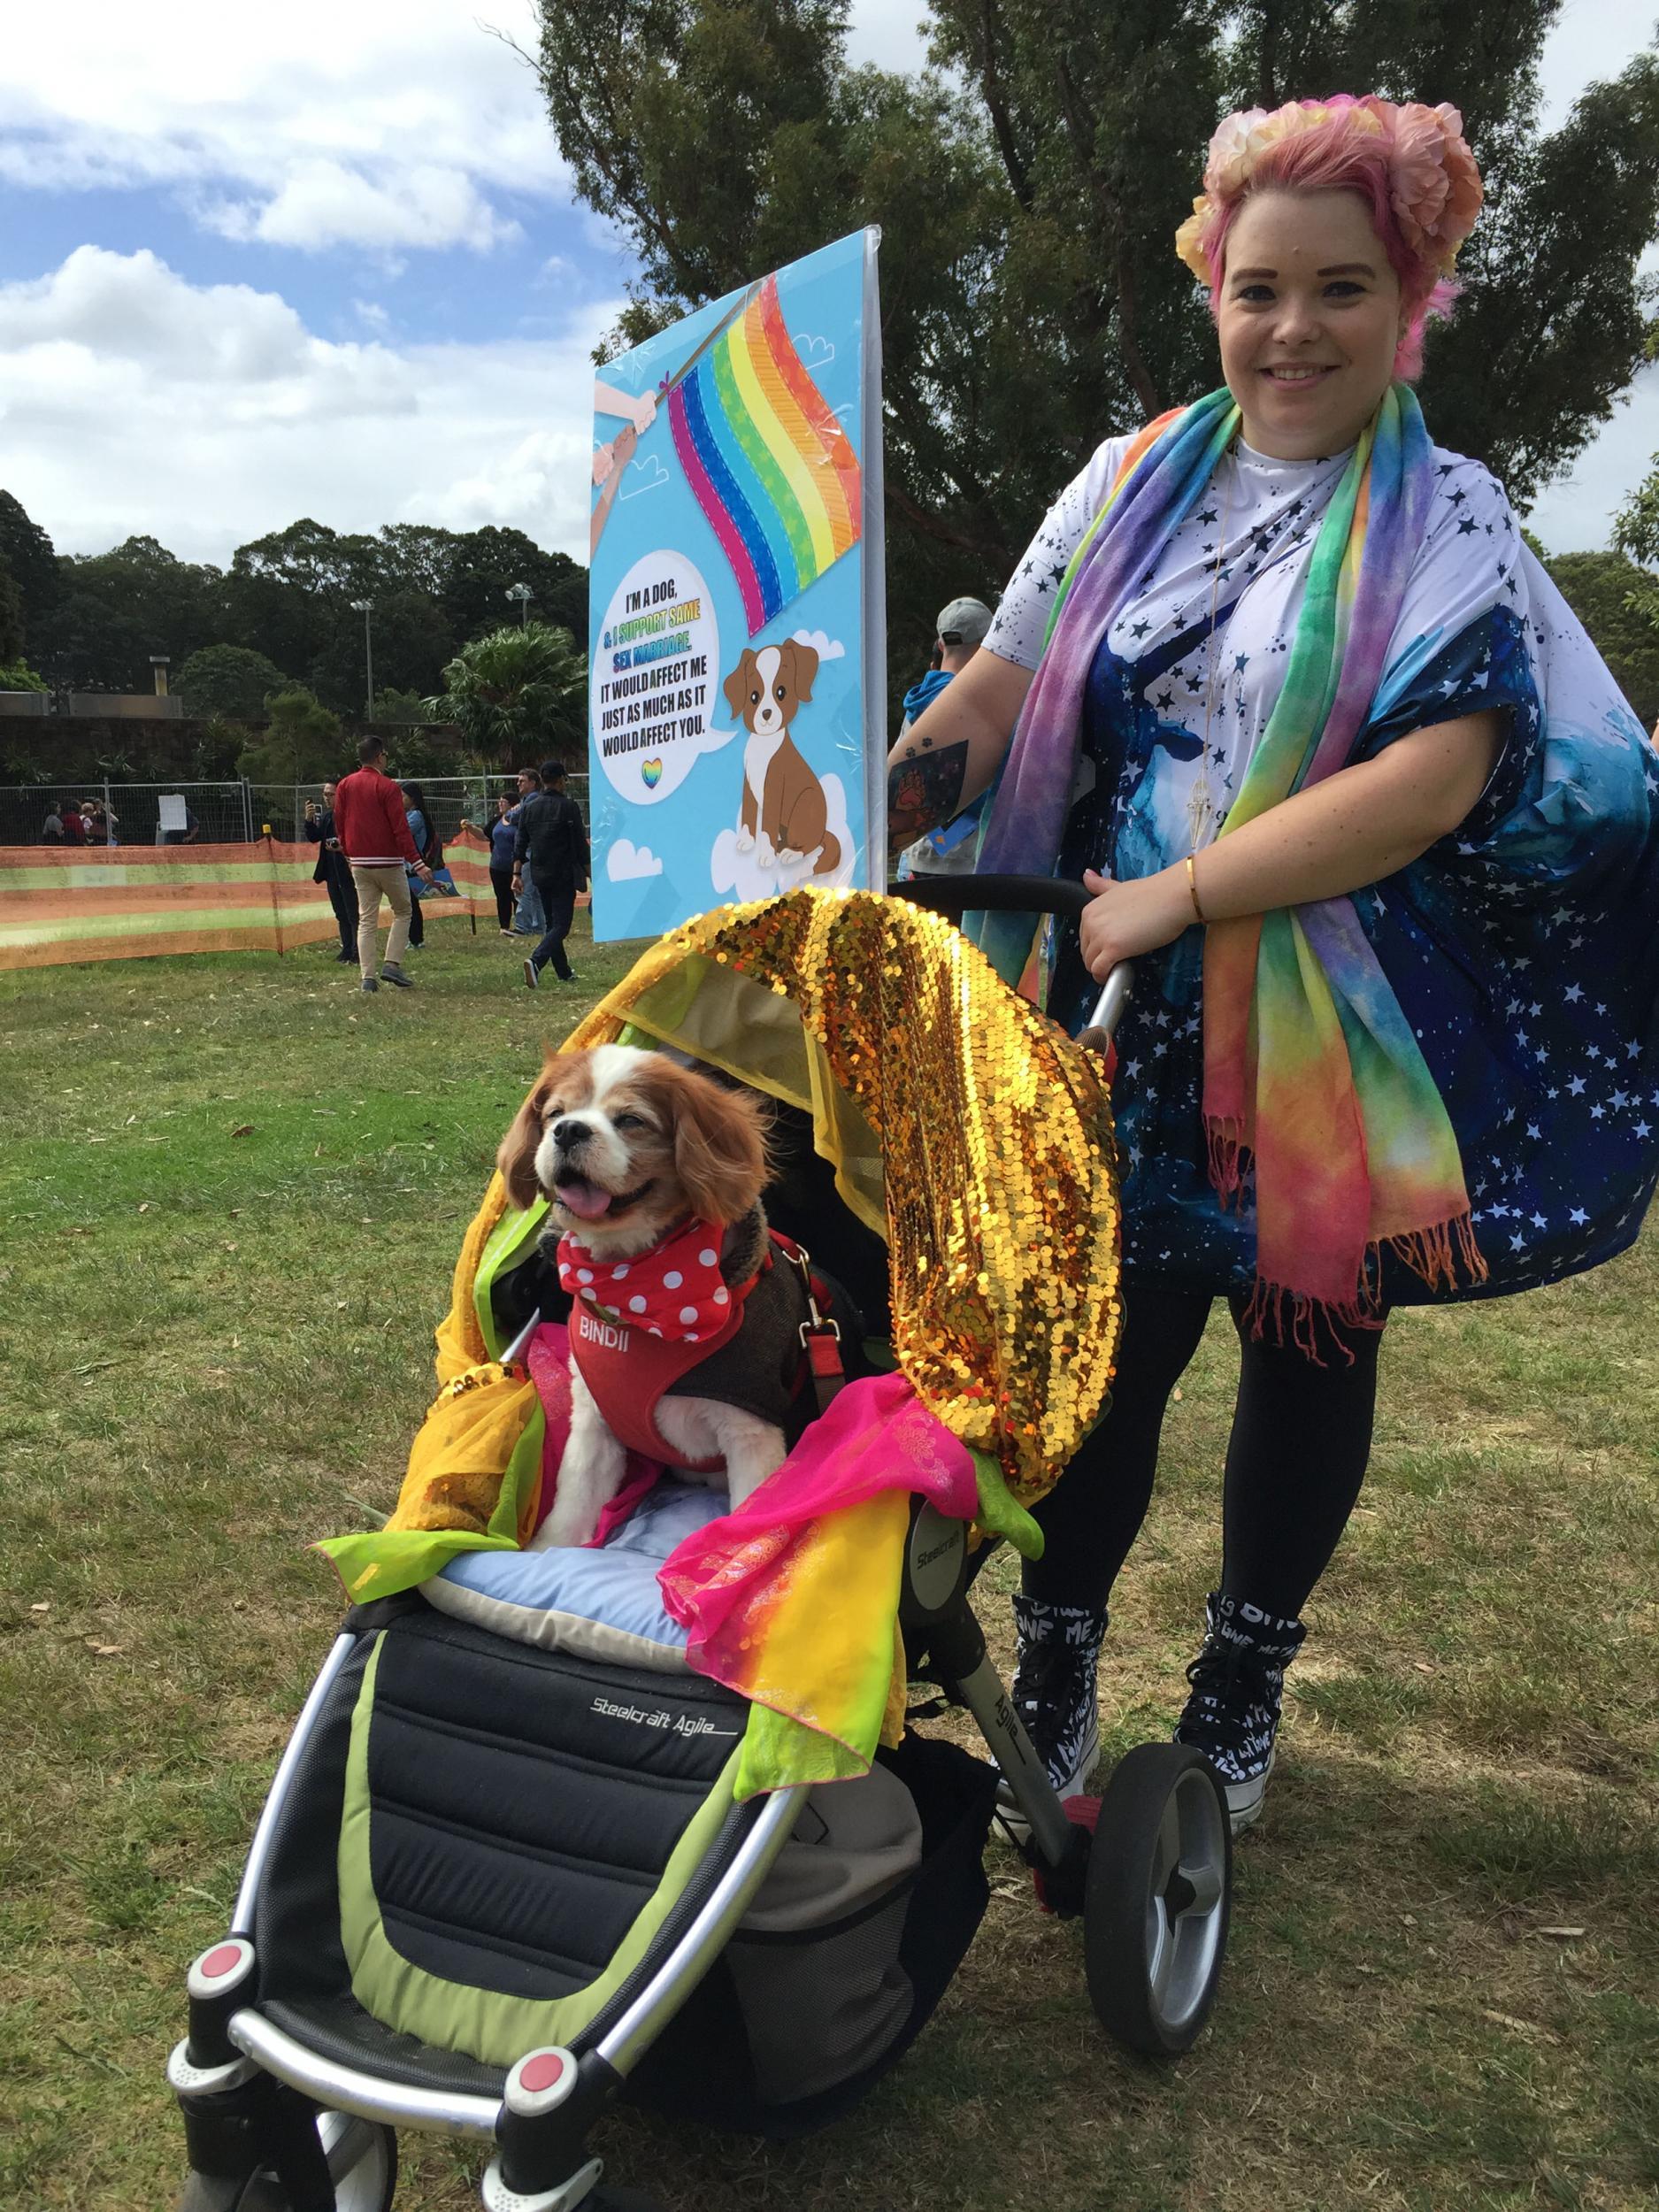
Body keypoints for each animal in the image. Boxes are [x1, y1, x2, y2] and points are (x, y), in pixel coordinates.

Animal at [493, 1044, 792, 1548]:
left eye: (631, 1120)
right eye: (555, 1114)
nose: (569, 1130)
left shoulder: (751, 1434)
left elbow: (745, 1524)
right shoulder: (594, 1421)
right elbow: (571, 1509)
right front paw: (545, 1555)